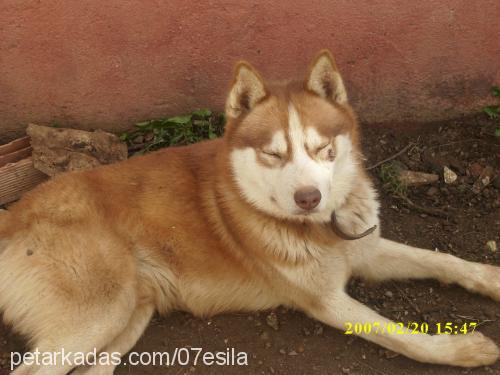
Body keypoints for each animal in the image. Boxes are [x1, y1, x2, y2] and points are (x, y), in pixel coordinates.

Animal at [0, 49, 498, 374]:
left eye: (321, 148)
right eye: (273, 154)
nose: (309, 198)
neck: (321, 230)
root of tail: (13, 213)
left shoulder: (367, 250)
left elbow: (442, 259)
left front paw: (490, 277)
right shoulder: (325, 300)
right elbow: (399, 334)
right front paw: (463, 352)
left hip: (130, 314)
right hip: (98, 314)